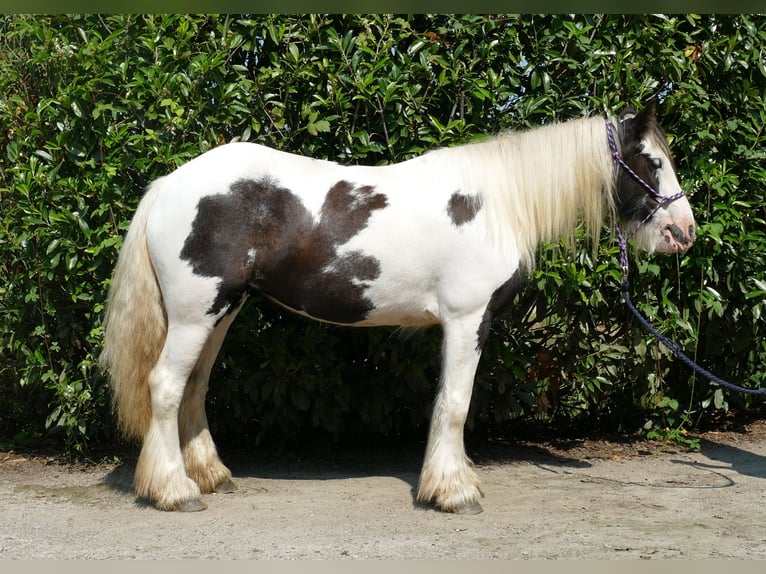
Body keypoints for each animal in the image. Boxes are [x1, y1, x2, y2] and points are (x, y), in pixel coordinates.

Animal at [99, 100, 700, 516]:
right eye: (653, 162)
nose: (684, 231)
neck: (497, 204)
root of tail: (169, 185)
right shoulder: (467, 320)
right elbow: (455, 403)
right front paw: (454, 492)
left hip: (222, 311)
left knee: (194, 388)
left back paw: (211, 475)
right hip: (195, 313)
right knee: (165, 387)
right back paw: (175, 491)